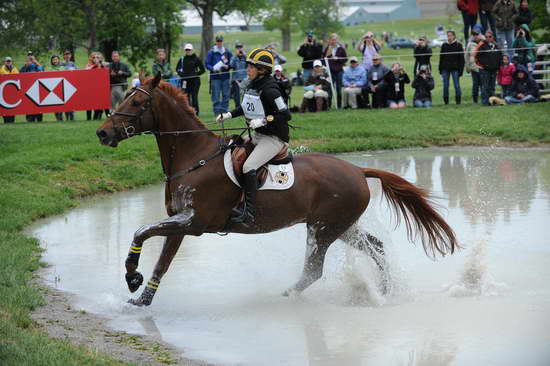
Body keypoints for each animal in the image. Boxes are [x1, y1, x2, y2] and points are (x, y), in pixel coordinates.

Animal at [97, 72, 460, 306]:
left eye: (138, 102)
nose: (102, 133)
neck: (194, 156)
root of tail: (358, 169)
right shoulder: (181, 223)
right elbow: (162, 260)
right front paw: (142, 296)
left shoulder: (194, 222)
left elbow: (142, 231)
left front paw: (132, 277)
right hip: (342, 226)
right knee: (377, 248)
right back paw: (386, 291)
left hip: (323, 229)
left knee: (314, 270)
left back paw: (287, 297)